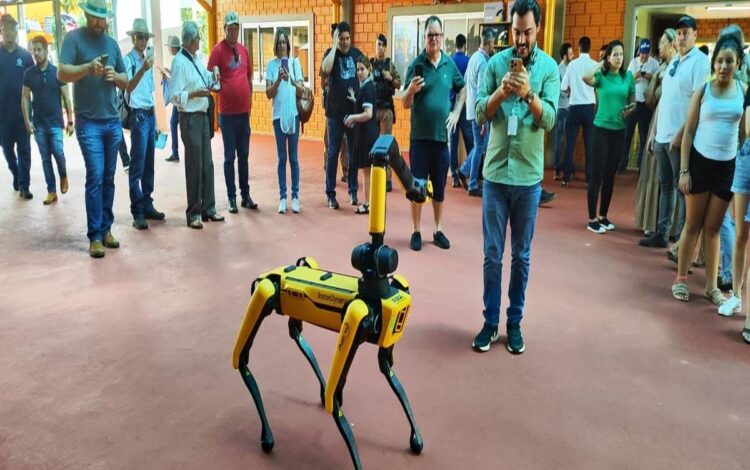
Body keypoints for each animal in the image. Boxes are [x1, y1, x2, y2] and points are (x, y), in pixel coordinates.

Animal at [232, 134, 432, 468]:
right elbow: (334, 401)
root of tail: (267, 274)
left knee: (294, 332)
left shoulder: (381, 334)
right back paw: (268, 434)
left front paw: (416, 436)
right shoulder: (357, 314)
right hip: (267, 292)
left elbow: (387, 370)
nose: (422, 189)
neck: (377, 289)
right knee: (242, 358)